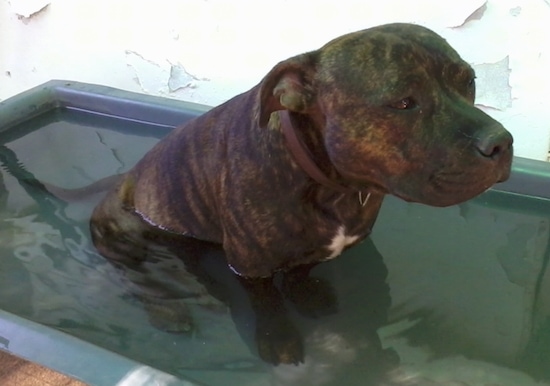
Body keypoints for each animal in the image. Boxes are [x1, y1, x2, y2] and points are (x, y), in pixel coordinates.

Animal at [88, 22, 516, 366]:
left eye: (469, 81)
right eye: (403, 103)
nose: (500, 142)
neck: (332, 185)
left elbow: (300, 271)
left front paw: (307, 295)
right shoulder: (249, 266)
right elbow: (267, 303)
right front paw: (278, 340)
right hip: (123, 236)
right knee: (139, 277)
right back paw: (169, 313)